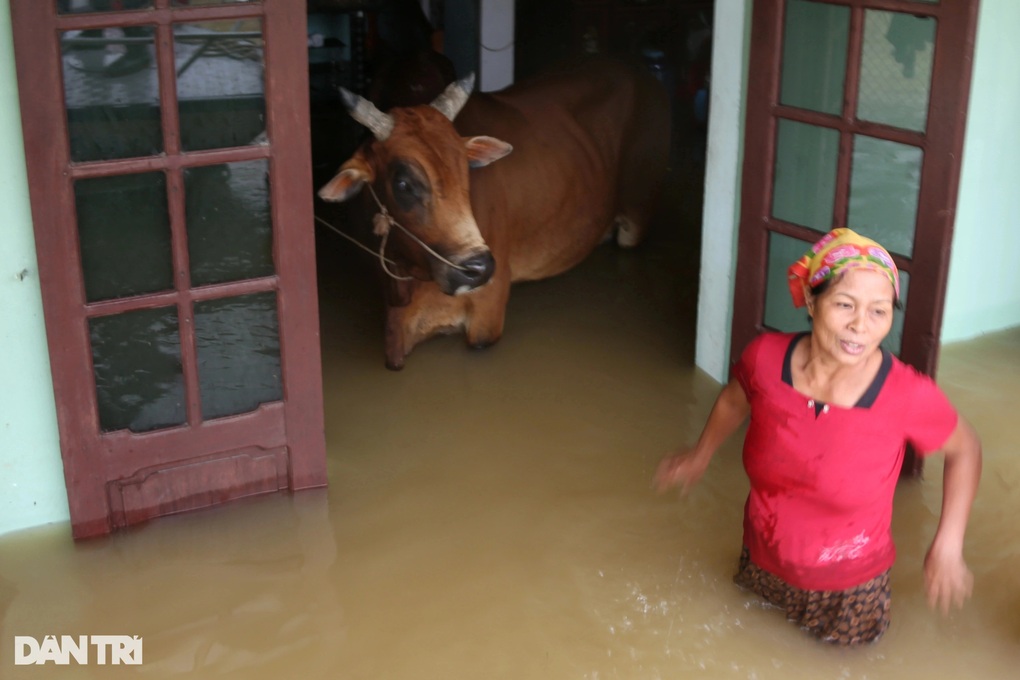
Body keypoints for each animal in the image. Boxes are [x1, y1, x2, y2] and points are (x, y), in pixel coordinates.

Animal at [318, 57, 669, 373]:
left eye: (466, 170)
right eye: (403, 183)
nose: (479, 268)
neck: (407, 274)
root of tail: (640, 73)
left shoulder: (487, 312)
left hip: (636, 219)